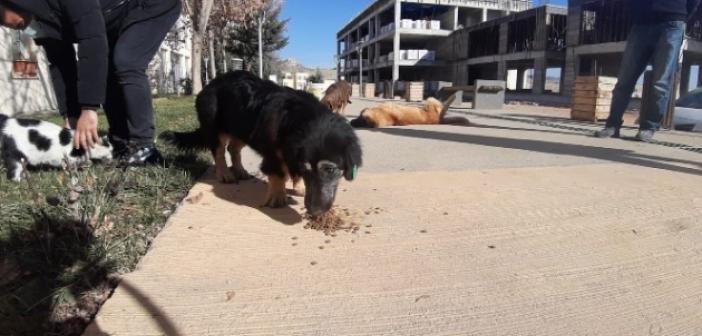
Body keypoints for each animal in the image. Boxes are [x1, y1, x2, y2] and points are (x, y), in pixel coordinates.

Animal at [162, 71, 364, 217]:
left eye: (329, 170)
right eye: (306, 169)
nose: (314, 212)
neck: (299, 117)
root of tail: (209, 85)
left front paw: (298, 187)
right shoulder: (272, 153)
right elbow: (279, 173)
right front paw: (278, 197)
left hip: (243, 128)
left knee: (233, 149)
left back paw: (241, 171)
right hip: (215, 127)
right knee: (219, 152)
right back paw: (226, 174)